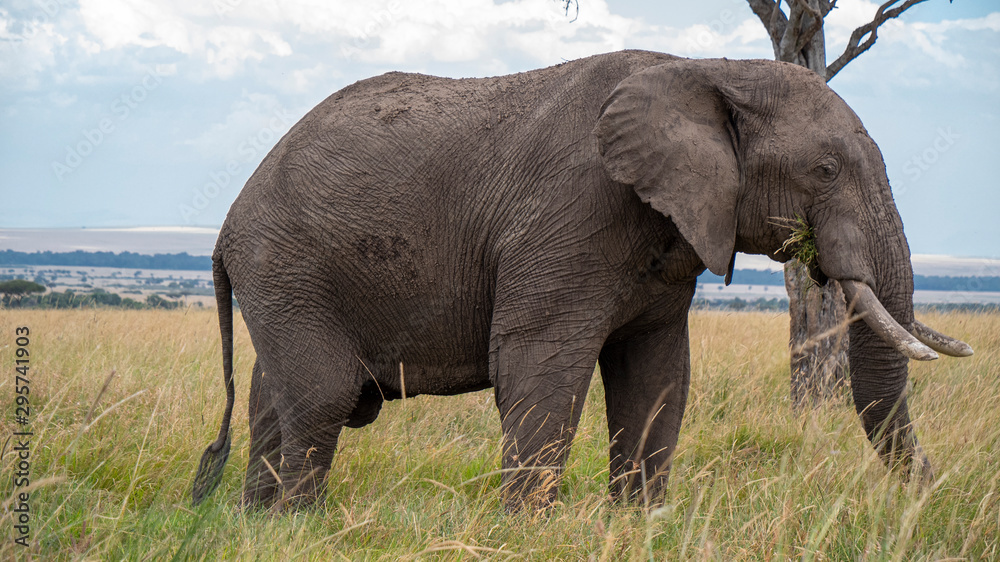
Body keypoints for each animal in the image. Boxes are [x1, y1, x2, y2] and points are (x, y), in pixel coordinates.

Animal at [191, 50, 973, 511]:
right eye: (826, 170)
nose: (937, 494)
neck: (707, 68)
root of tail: (227, 226)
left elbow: (656, 373)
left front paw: (640, 523)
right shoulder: (570, 211)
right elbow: (537, 363)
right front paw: (523, 530)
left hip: (287, 277)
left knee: (270, 394)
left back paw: (254, 522)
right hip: (286, 263)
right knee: (322, 395)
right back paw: (300, 526)